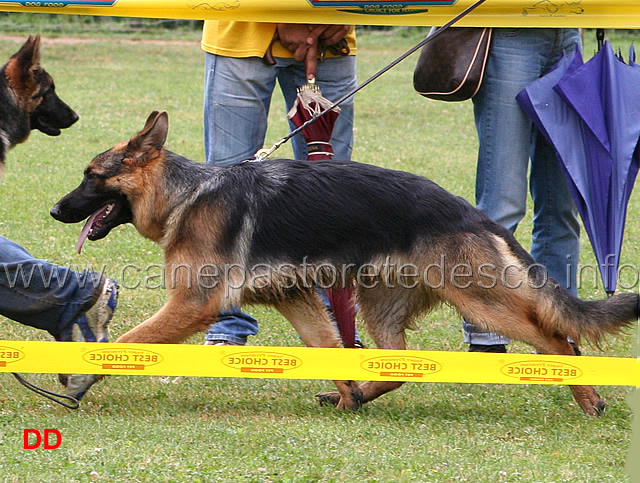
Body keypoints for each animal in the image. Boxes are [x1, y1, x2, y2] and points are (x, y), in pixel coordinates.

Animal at [50, 111, 636, 418]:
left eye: (91, 176)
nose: (54, 211)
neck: (185, 195)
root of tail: (470, 212)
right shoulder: (295, 297)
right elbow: (329, 348)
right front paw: (347, 392)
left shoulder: (193, 304)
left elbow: (126, 343)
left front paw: (76, 378)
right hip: (382, 305)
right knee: (402, 364)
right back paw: (355, 395)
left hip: (483, 302)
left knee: (558, 341)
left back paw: (589, 399)